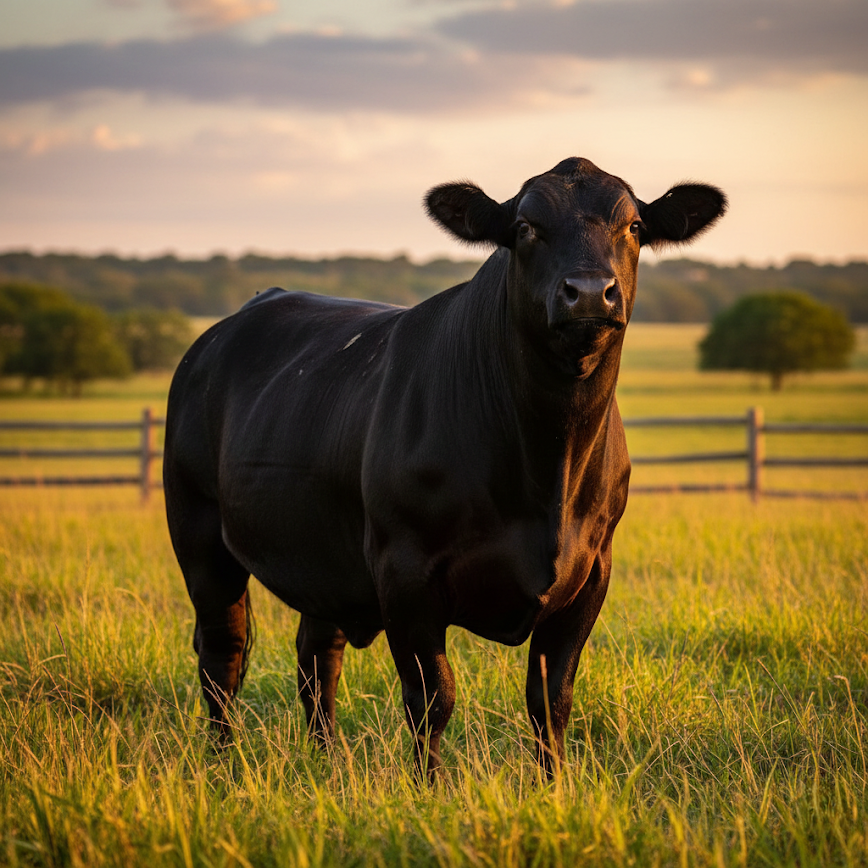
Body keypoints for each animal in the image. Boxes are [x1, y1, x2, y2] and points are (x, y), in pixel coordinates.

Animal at [163, 157, 726, 779]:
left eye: (633, 226)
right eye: (525, 227)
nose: (587, 294)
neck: (548, 470)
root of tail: (235, 321)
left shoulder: (592, 569)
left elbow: (550, 699)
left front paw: (553, 787)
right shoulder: (404, 570)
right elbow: (433, 696)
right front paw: (427, 787)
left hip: (323, 552)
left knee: (316, 655)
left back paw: (328, 762)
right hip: (198, 532)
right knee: (223, 652)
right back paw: (222, 763)